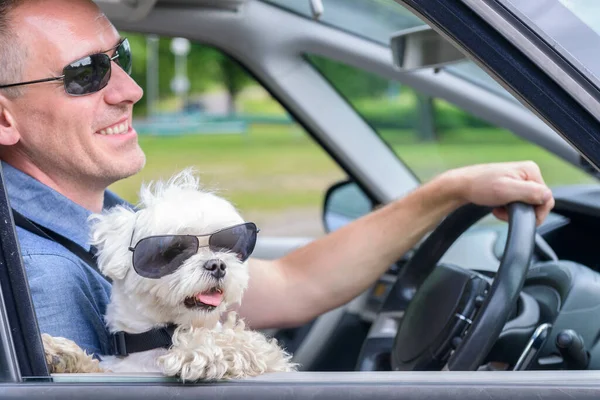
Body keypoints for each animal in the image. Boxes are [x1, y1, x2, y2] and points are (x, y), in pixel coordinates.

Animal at [41, 170, 296, 382]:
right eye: (173, 250)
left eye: (227, 244)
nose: (217, 264)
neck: (159, 338)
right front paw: (61, 355)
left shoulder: (269, 357)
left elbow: (245, 343)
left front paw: (197, 352)